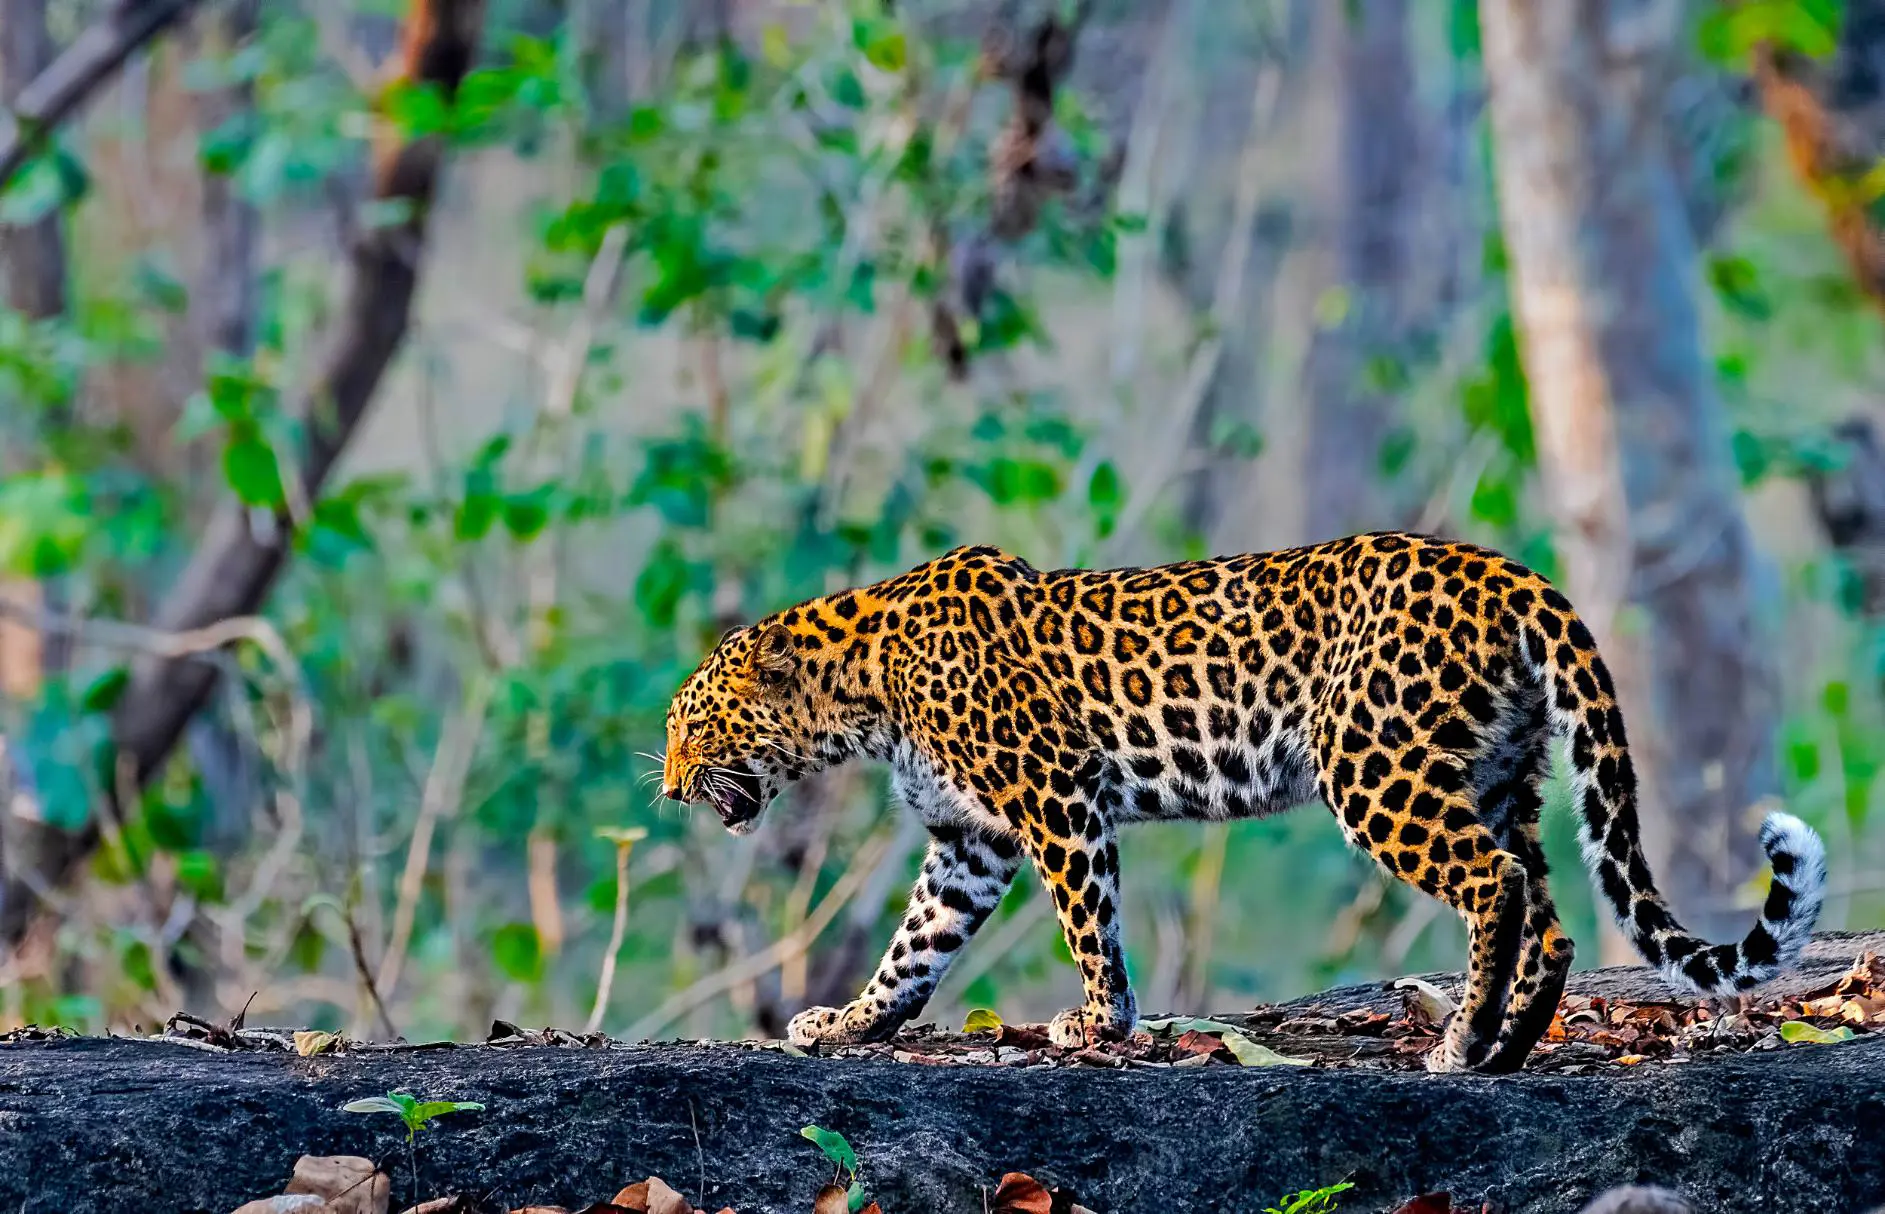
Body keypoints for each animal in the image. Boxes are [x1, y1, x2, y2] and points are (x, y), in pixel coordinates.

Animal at [660, 531, 1827, 1072]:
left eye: (694, 725)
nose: (669, 788)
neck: (862, 689)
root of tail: (1504, 571)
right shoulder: (966, 840)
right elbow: (914, 946)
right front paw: (850, 1020)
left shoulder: (1053, 796)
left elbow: (1088, 919)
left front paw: (1097, 1021)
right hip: (1497, 772)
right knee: (1547, 909)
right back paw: (1503, 1045)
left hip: (1375, 766)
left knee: (1493, 883)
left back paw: (1457, 1045)